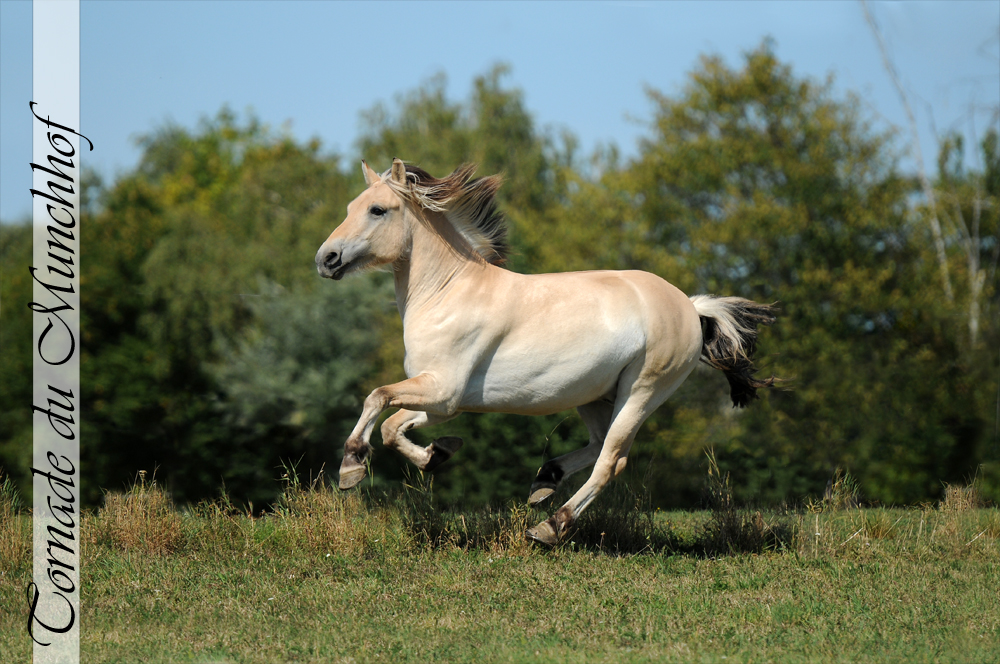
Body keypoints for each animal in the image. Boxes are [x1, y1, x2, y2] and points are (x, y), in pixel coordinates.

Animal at [316, 160, 776, 544]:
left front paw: (351, 466)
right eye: (351, 206)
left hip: (641, 392)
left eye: (378, 210)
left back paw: (550, 527)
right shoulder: (444, 402)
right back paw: (544, 481)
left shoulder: (442, 389)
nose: (326, 258)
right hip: (595, 396)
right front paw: (436, 454)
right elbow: (393, 427)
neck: (447, 293)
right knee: (599, 444)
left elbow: (376, 398)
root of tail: (690, 306)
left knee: (611, 460)